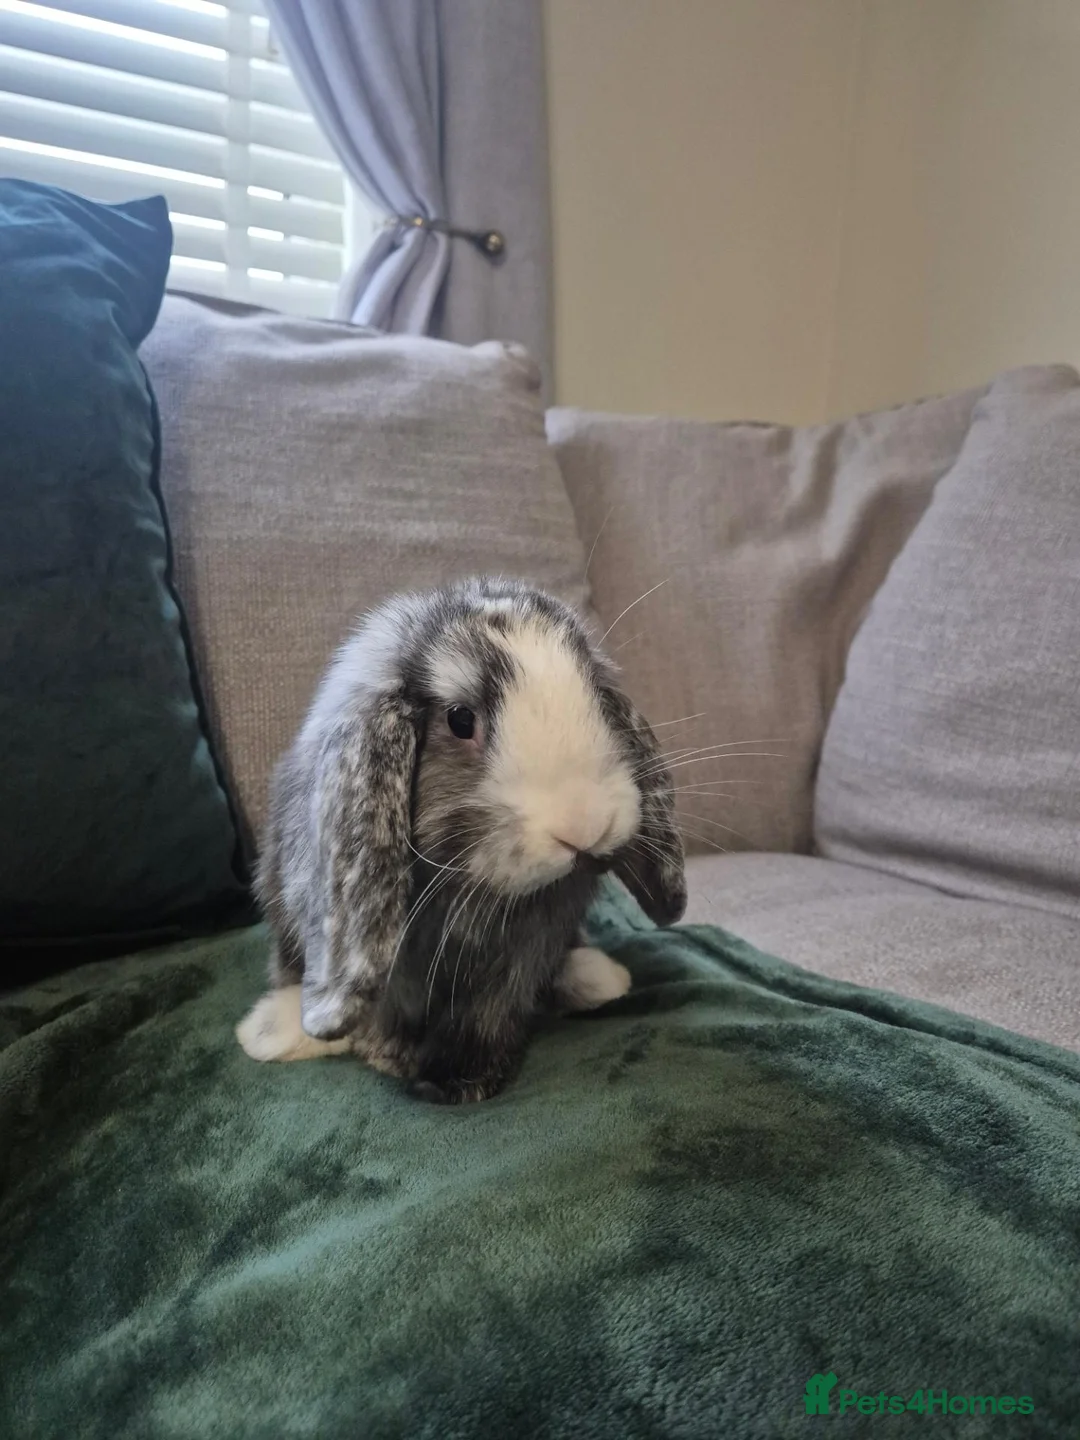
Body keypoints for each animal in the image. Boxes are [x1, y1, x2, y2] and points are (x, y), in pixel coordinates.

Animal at [236, 576, 686, 1104]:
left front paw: (459, 1078)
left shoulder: (527, 947)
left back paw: (599, 980)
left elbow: (490, 1011)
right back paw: (267, 1032)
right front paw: (394, 1060)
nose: (585, 825)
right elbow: (387, 1009)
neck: (471, 894)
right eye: (460, 720)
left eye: (597, 697)